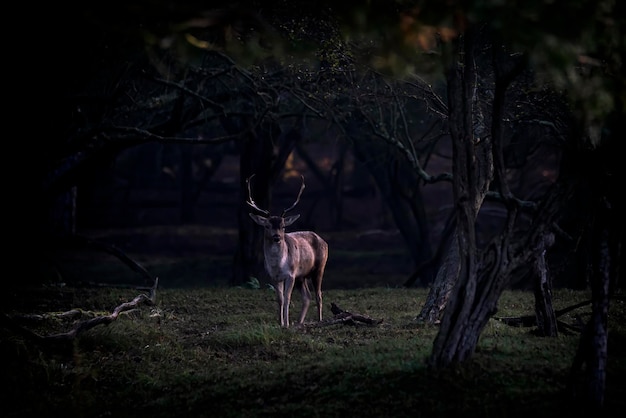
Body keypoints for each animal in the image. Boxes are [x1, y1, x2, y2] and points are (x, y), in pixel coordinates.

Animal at [246, 173, 330, 326]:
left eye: (283, 226)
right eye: (267, 226)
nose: (277, 237)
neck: (278, 266)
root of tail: (323, 240)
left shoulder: (291, 274)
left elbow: (287, 299)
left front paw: (286, 324)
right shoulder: (273, 276)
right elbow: (280, 300)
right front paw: (281, 323)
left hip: (319, 268)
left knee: (319, 295)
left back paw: (319, 320)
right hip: (301, 276)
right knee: (307, 296)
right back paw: (299, 322)